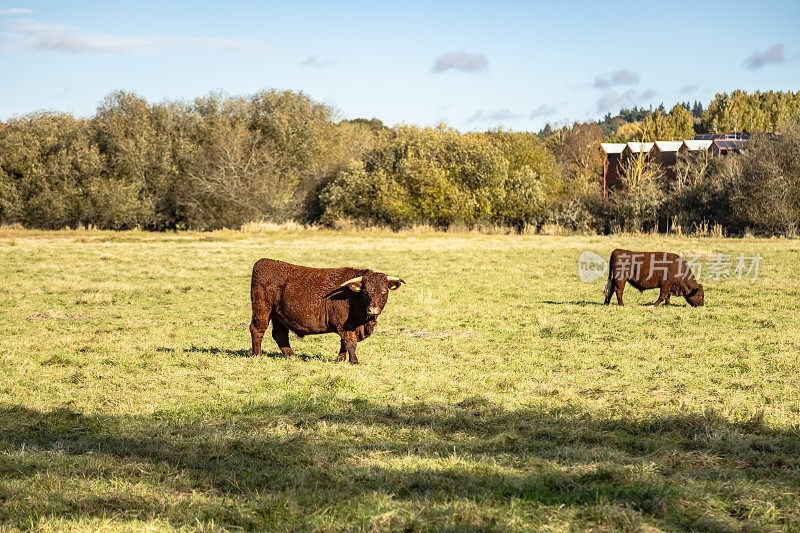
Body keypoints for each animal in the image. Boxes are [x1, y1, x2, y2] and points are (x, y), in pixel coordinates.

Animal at [250, 256, 404, 362]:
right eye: (366, 292)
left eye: (384, 291)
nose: (373, 310)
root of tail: (263, 262)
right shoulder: (344, 325)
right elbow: (350, 343)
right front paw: (354, 361)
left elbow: (344, 344)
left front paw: (340, 360)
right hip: (262, 310)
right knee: (257, 330)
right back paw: (257, 355)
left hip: (279, 316)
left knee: (280, 335)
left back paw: (292, 356)